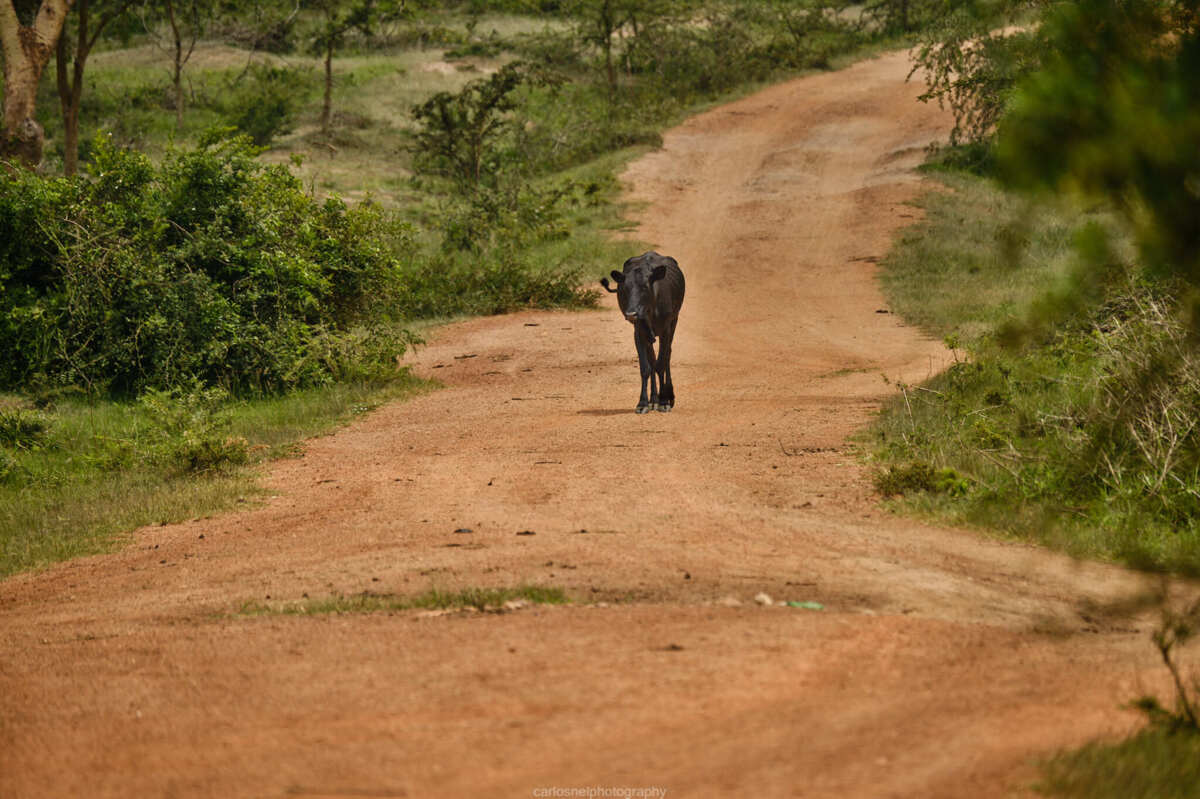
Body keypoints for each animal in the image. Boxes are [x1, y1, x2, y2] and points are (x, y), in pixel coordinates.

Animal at [600, 249, 686, 410]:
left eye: (645, 287)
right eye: (625, 288)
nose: (631, 313)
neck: (650, 310)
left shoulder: (666, 329)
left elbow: (661, 363)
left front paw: (664, 401)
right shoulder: (639, 331)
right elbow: (646, 367)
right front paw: (643, 402)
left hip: (674, 321)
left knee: (667, 355)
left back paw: (668, 396)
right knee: (652, 359)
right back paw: (654, 399)